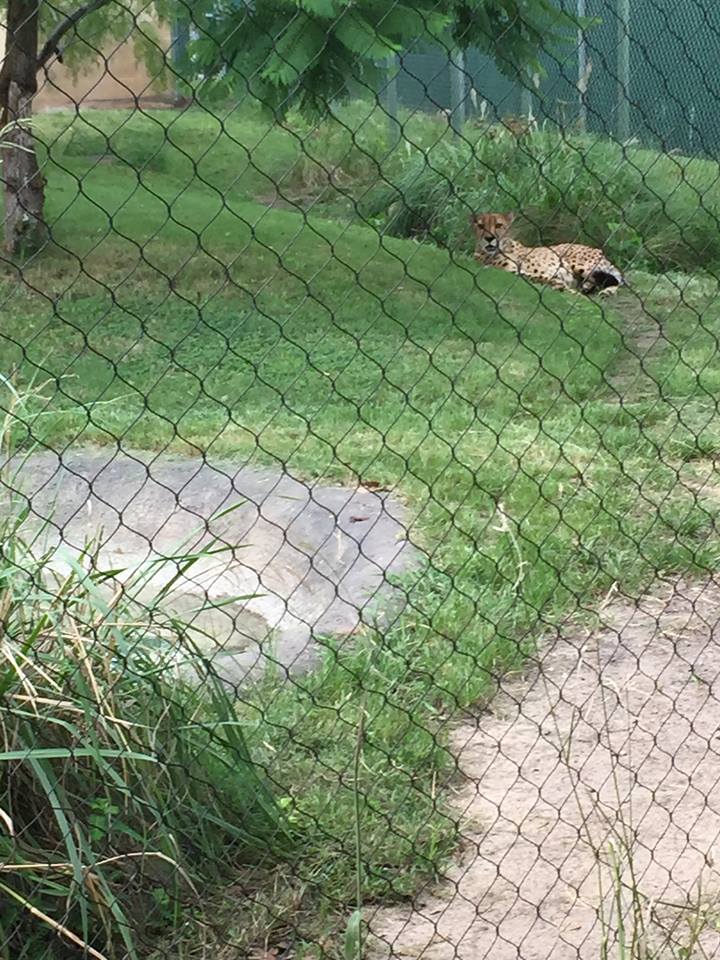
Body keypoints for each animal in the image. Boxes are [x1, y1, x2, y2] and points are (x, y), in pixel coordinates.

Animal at [470, 211, 624, 296]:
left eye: (498, 225)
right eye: (480, 226)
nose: (489, 238)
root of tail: (597, 249)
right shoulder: (511, 271)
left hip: (581, 264)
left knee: (620, 281)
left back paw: (605, 291)